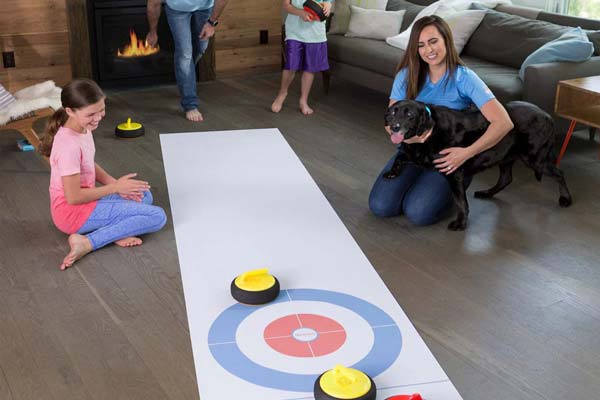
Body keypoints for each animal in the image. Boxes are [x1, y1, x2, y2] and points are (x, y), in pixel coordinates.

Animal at [384, 100, 572, 231]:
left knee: (560, 173)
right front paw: (392, 172)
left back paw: (566, 199)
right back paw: (487, 193)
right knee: (506, 178)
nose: (394, 127)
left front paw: (460, 223)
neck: (430, 130)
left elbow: (461, 202)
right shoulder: (416, 156)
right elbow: (400, 156)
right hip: (505, 156)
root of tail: (548, 116)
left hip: (534, 158)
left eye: (410, 115)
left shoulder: (454, 172)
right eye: (393, 112)